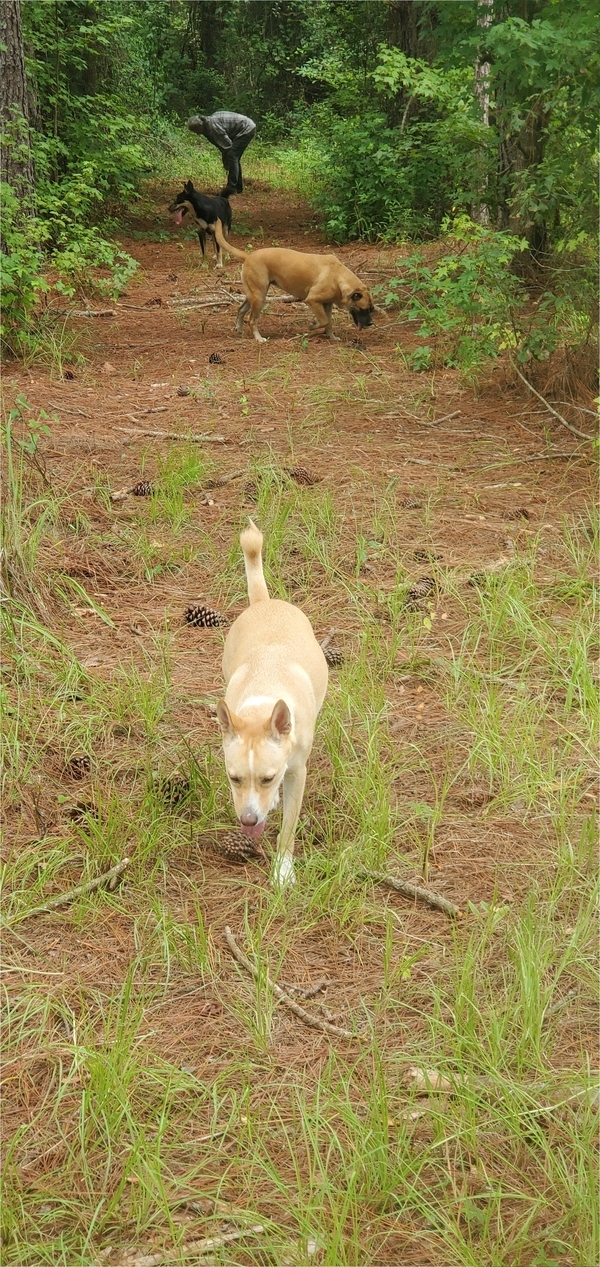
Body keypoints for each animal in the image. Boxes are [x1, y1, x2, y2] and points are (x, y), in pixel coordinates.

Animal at [213, 217, 374, 339]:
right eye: (364, 309)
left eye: (371, 309)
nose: (370, 324)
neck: (338, 276)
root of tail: (249, 256)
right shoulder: (312, 300)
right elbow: (324, 320)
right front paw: (313, 325)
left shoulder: (327, 304)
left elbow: (329, 322)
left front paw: (332, 337)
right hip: (259, 297)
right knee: (252, 320)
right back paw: (259, 338)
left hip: (253, 294)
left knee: (241, 310)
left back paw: (239, 330)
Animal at [216, 519, 329, 886]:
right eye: (233, 778)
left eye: (267, 778)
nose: (249, 820)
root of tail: (263, 603)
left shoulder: (297, 773)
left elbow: (289, 826)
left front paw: (282, 870)